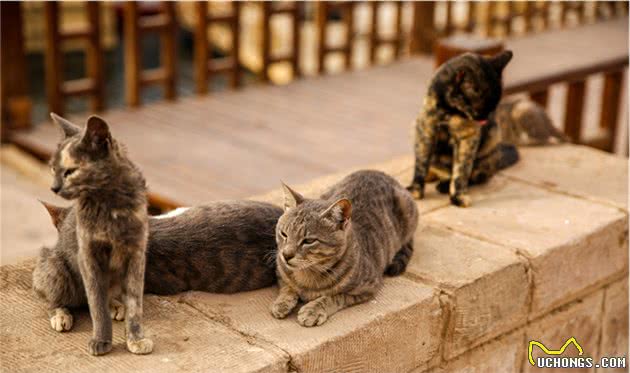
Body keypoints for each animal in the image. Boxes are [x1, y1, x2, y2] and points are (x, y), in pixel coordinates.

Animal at [272, 170, 420, 326]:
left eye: (309, 241)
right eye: (283, 234)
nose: (286, 255)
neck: (308, 275)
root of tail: (377, 172)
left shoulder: (367, 288)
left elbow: (334, 297)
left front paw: (313, 309)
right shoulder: (279, 272)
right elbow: (287, 287)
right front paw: (282, 302)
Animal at [410, 50, 520, 206]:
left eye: (492, 108)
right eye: (478, 110)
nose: (484, 120)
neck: (450, 111)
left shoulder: (468, 137)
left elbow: (462, 170)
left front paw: (458, 197)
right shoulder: (426, 128)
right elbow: (421, 163)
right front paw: (415, 191)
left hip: (492, 140)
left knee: (475, 176)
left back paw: (444, 186)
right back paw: (430, 176)